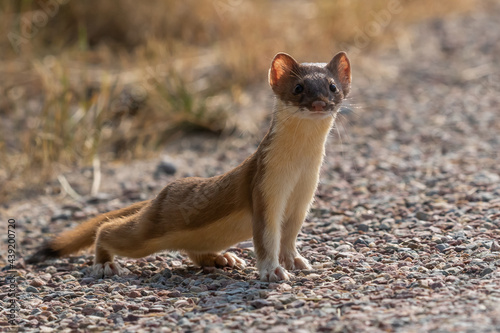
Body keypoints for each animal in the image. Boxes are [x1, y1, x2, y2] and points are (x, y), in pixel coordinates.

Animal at [28, 51, 352, 280]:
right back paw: (105, 265)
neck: (298, 167)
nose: (320, 103)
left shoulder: (305, 194)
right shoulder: (264, 186)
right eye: (298, 87)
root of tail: (160, 195)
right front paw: (272, 271)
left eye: (333, 86)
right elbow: (266, 237)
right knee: (108, 229)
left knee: (191, 250)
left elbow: (290, 234)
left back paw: (222, 258)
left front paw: (296, 261)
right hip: (148, 231)